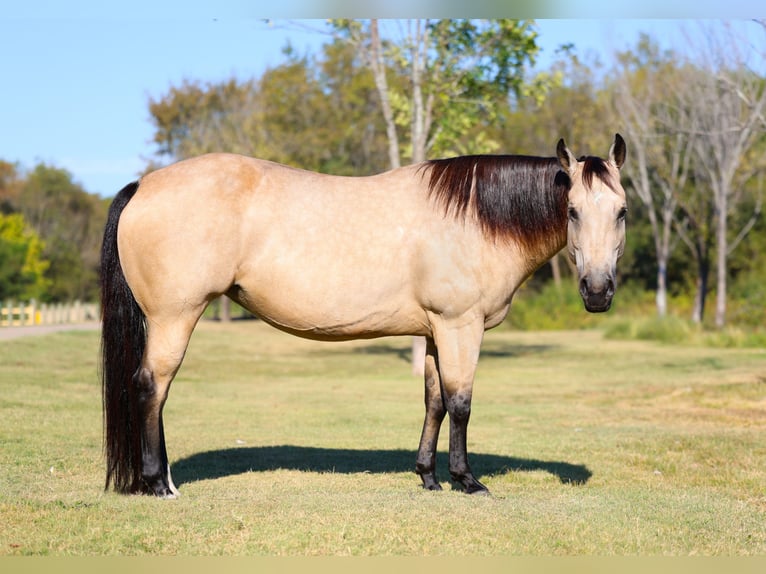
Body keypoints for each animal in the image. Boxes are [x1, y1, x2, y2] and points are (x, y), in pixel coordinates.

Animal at [100, 134, 627, 498]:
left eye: (621, 211)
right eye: (573, 211)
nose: (598, 292)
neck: (476, 218)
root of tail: (143, 185)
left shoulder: (436, 330)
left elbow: (434, 401)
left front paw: (428, 478)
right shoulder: (461, 326)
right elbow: (461, 403)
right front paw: (467, 480)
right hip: (174, 317)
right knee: (152, 386)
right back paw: (157, 484)